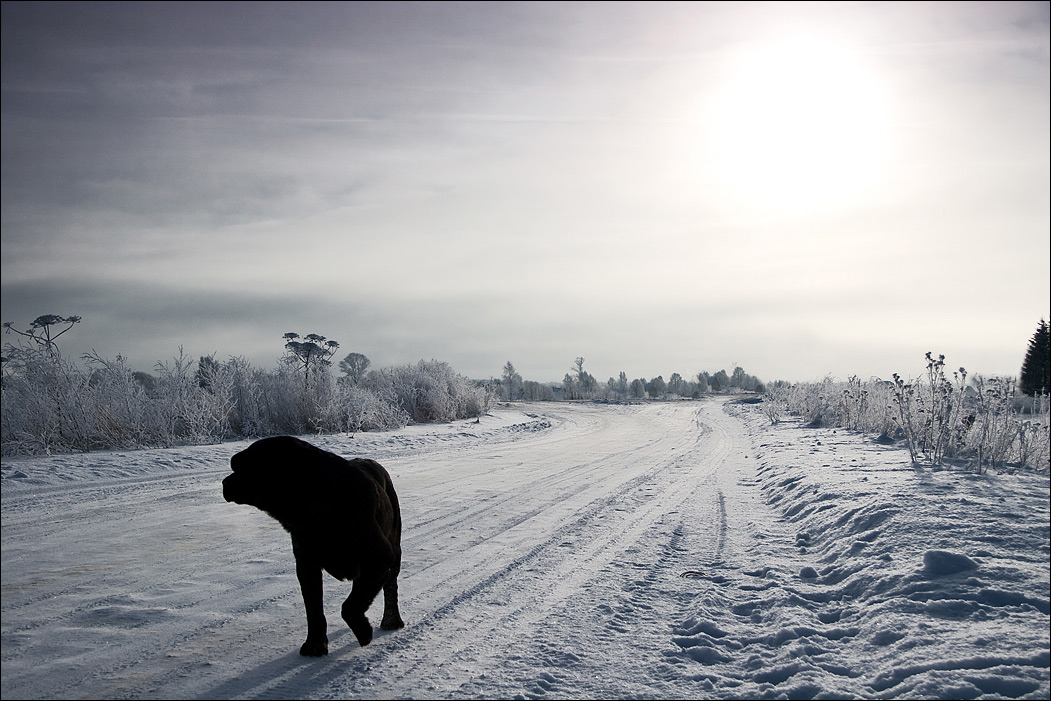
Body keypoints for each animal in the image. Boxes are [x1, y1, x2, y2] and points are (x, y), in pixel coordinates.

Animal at [223, 435, 403, 655]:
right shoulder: (306, 565)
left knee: (390, 587)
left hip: (394, 548)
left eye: (241, 467)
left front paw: (363, 631)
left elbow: (350, 606)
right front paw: (315, 644)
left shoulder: (378, 557)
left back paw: (391, 620)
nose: (224, 482)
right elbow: (314, 609)